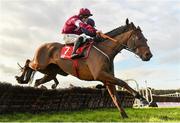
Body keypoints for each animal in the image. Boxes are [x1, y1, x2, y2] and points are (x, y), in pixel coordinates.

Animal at [15, 19, 153, 118]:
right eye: (139, 38)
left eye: (145, 38)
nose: (149, 55)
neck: (105, 50)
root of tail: (43, 45)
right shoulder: (100, 75)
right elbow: (123, 82)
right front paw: (142, 98)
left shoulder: (107, 80)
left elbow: (116, 98)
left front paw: (125, 116)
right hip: (39, 64)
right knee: (28, 63)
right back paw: (21, 78)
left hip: (50, 72)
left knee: (38, 81)